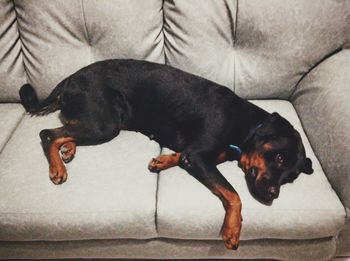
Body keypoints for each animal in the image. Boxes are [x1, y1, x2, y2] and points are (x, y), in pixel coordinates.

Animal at [19, 58, 314, 248]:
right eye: (279, 158)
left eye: (290, 178)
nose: (273, 195)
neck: (247, 126)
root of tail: (69, 79)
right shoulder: (198, 156)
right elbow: (234, 194)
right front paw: (233, 229)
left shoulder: (195, 155)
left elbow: (182, 157)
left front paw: (162, 160)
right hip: (105, 123)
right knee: (48, 133)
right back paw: (57, 167)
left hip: (102, 121)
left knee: (67, 128)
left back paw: (68, 149)